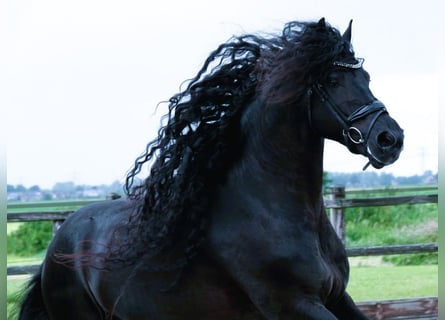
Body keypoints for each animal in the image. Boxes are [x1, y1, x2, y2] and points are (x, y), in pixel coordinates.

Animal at [19, 18, 402, 318]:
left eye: (366, 77)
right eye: (333, 81)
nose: (390, 139)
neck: (270, 209)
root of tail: (56, 248)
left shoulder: (337, 298)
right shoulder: (295, 305)